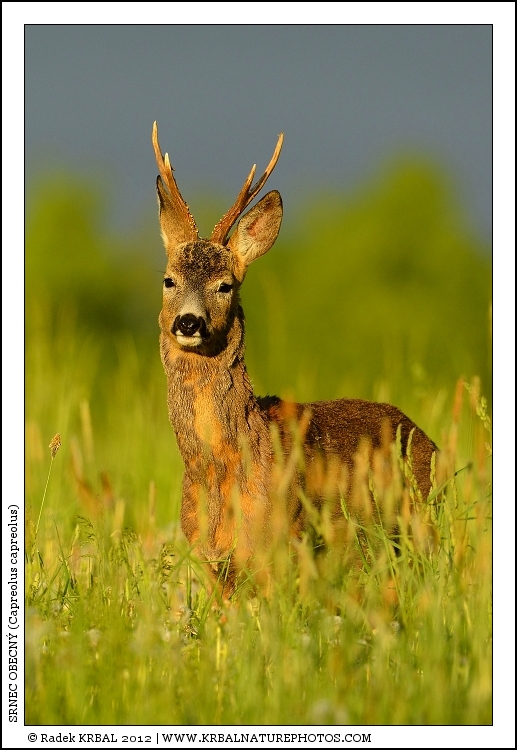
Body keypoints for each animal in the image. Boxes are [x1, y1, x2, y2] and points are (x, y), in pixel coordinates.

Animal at [152, 122, 438, 598]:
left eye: (226, 285)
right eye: (168, 280)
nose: (189, 321)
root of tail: (428, 439)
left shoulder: (283, 546)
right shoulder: (210, 563)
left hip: (420, 518)